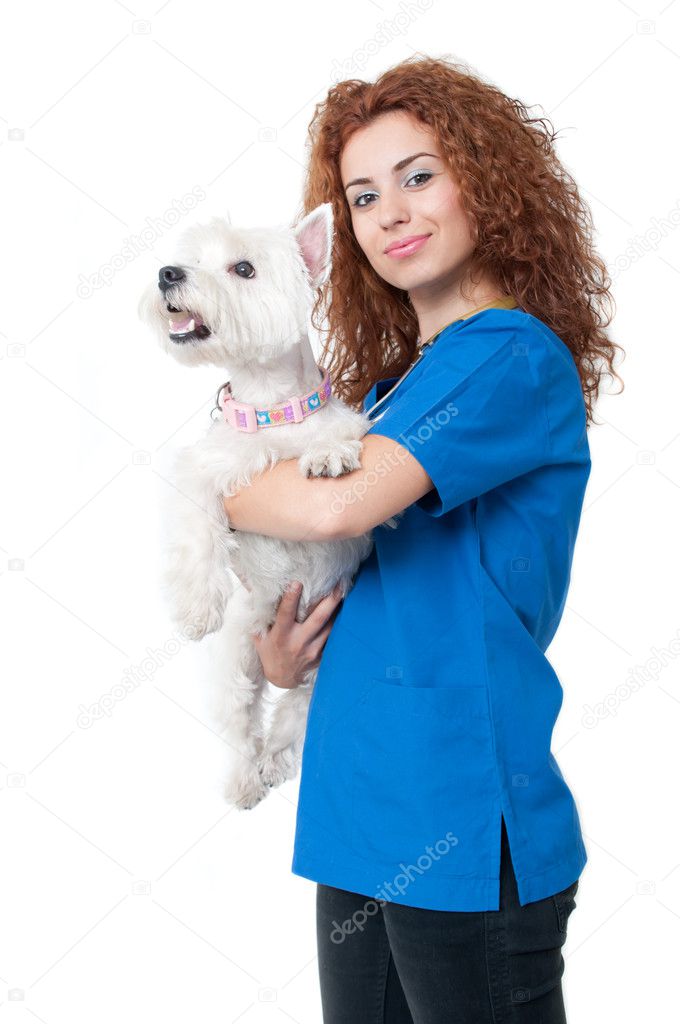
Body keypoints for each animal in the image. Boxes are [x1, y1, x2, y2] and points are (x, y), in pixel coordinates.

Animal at [136, 203, 399, 811]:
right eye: (190, 258)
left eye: (243, 268)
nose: (167, 273)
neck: (270, 408)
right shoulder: (202, 472)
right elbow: (197, 531)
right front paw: (196, 606)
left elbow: (341, 443)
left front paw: (327, 455)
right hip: (241, 653)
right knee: (244, 724)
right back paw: (247, 780)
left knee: (294, 719)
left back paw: (275, 764)